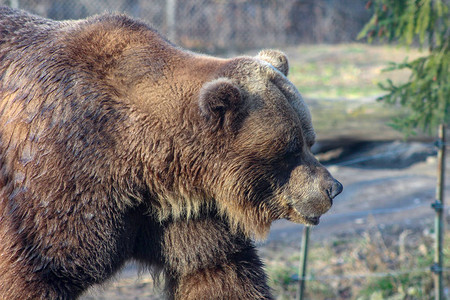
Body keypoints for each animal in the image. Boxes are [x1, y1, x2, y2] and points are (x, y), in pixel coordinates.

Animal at [0, 7, 342, 300]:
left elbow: (218, 271)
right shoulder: (58, 180)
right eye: (289, 149)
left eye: (310, 140)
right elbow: (36, 272)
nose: (333, 187)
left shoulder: (185, 213)